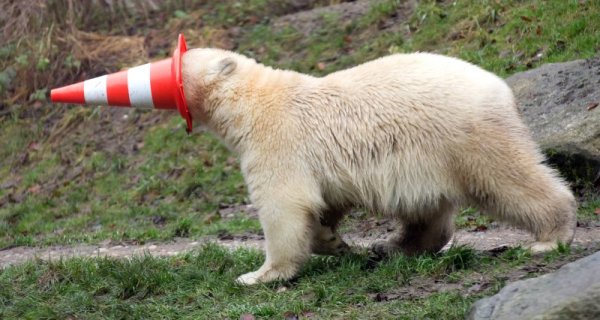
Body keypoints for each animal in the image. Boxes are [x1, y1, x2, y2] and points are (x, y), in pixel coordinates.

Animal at [182, 48, 576, 284]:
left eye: (181, 60)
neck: (251, 103)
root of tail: (501, 89)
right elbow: (322, 205)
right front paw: (333, 242)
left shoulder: (279, 142)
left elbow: (286, 206)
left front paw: (259, 275)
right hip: (427, 157)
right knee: (426, 211)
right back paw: (392, 246)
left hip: (467, 137)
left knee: (508, 181)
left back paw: (550, 237)